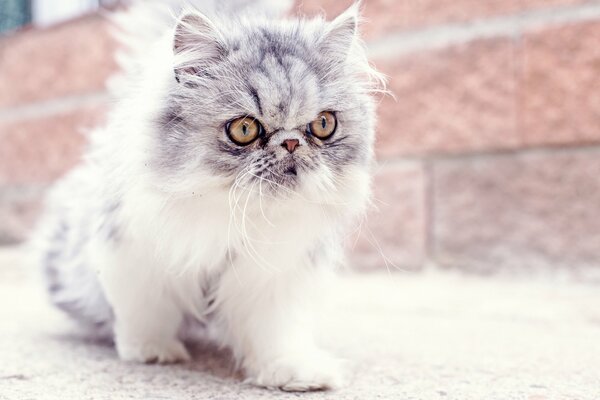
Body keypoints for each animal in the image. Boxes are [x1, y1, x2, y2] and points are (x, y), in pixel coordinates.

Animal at [31, 0, 384, 390]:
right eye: (244, 129)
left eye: (323, 125)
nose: (290, 143)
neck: (233, 218)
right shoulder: (134, 258)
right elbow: (147, 315)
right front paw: (152, 352)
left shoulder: (271, 279)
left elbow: (274, 335)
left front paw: (293, 373)